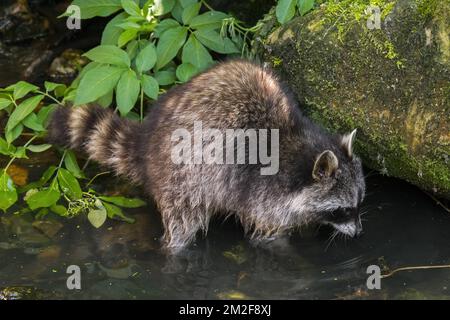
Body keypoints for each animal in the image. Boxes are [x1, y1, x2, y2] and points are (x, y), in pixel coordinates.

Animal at [49, 60, 366, 254]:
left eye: (359, 203)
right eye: (341, 210)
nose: (359, 233)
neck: (296, 144)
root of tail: (147, 143)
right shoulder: (263, 193)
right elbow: (267, 235)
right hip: (182, 176)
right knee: (182, 221)